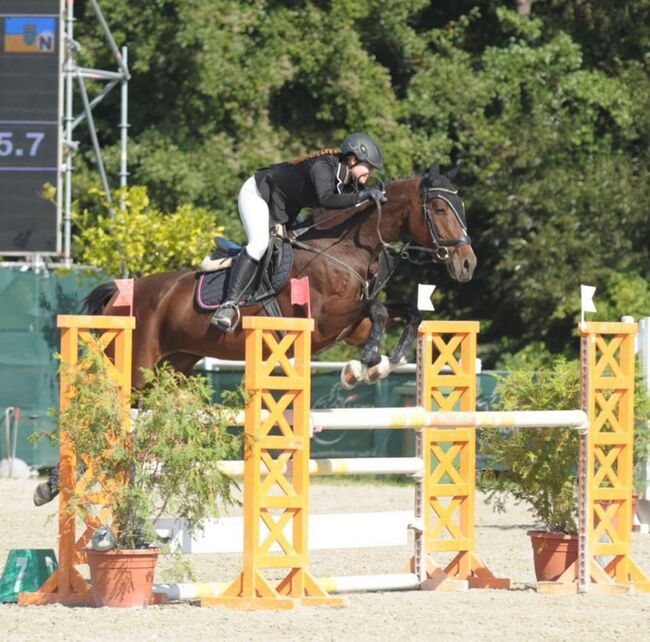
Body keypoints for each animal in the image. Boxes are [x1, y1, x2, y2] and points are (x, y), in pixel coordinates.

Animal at [83, 160, 474, 390]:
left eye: (461, 205)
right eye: (440, 208)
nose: (468, 264)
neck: (345, 249)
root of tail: (119, 292)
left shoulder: (352, 327)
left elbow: (409, 311)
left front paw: (387, 362)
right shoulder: (322, 321)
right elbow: (377, 309)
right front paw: (366, 363)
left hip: (173, 367)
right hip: (135, 367)